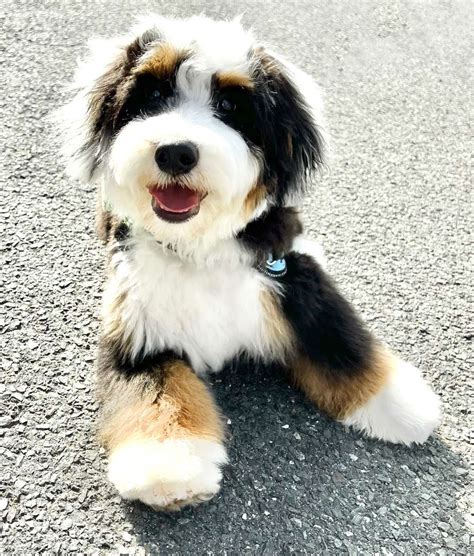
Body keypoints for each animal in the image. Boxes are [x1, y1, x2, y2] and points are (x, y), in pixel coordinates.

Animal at [57, 14, 442, 508]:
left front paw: (400, 403)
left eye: (229, 104)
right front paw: (168, 465)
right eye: (154, 96)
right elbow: (156, 389)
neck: (198, 246)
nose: (176, 152)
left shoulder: (288, 270)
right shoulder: (136, 324)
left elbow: (340, 340)